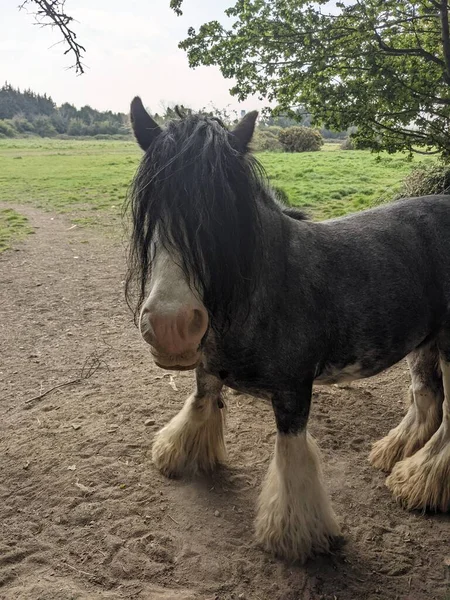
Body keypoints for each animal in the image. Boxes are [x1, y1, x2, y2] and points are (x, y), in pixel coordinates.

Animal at [124, 97, 450, 564]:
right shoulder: (206, 371)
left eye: (225, 213)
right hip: (423, 343)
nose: (171, 326)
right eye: (152, 206)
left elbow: (292, 465)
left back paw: (420, 483)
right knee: (427, 398)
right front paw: (182, 456)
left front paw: (296, 540)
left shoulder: (294, 394)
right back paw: (400, 461)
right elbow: (200, 407)